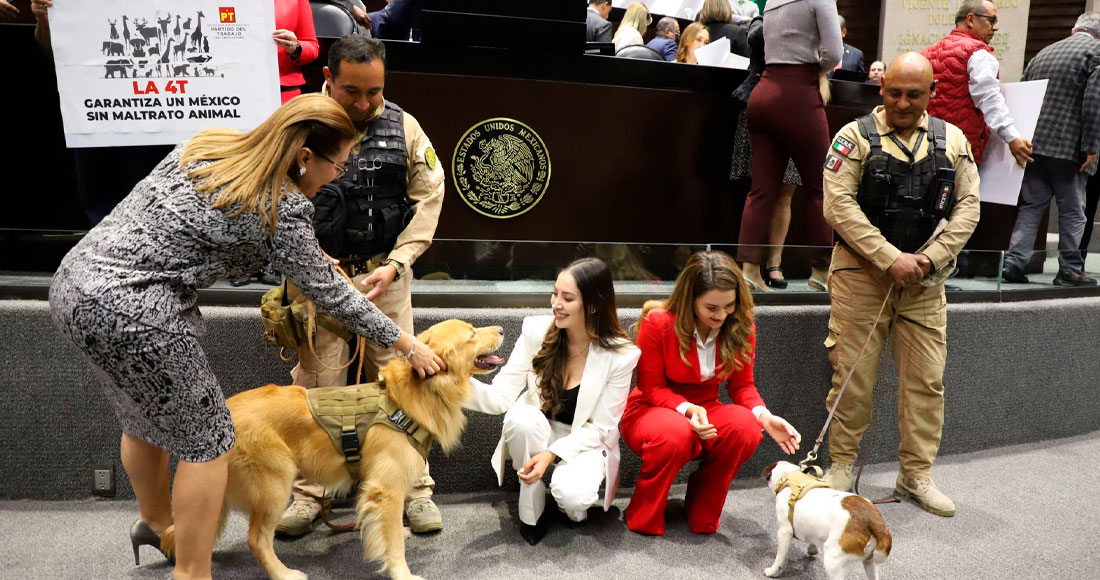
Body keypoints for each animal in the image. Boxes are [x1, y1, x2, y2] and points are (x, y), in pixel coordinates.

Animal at [765, 462, 893, 580]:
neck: (790, 476)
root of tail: (874, 520)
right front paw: (812, 549)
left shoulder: (784, 531)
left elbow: (779, 558)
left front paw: (773, 571)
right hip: (869, 562)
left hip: (832, 561)